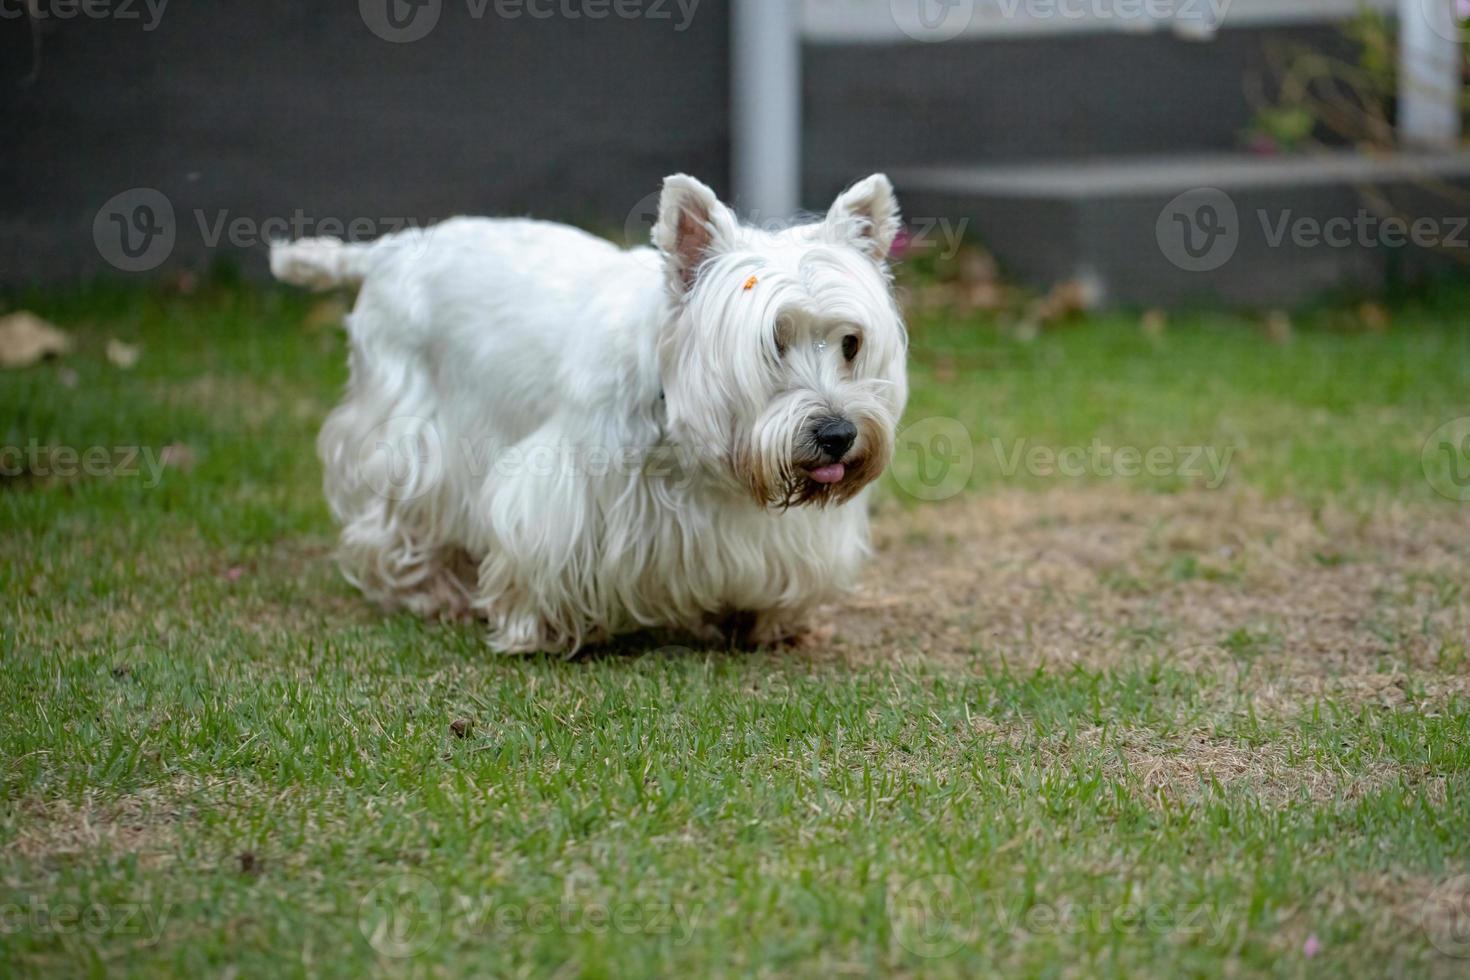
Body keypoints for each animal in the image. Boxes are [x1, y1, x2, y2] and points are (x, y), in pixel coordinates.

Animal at [269, 175, 899, 652]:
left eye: (850, 343)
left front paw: (765, 619)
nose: (839, 434)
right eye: (773, 342)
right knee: (394, 521)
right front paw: (535, 628)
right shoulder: (562, 487)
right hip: (407, 429)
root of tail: (393, 247)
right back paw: (431, 592)